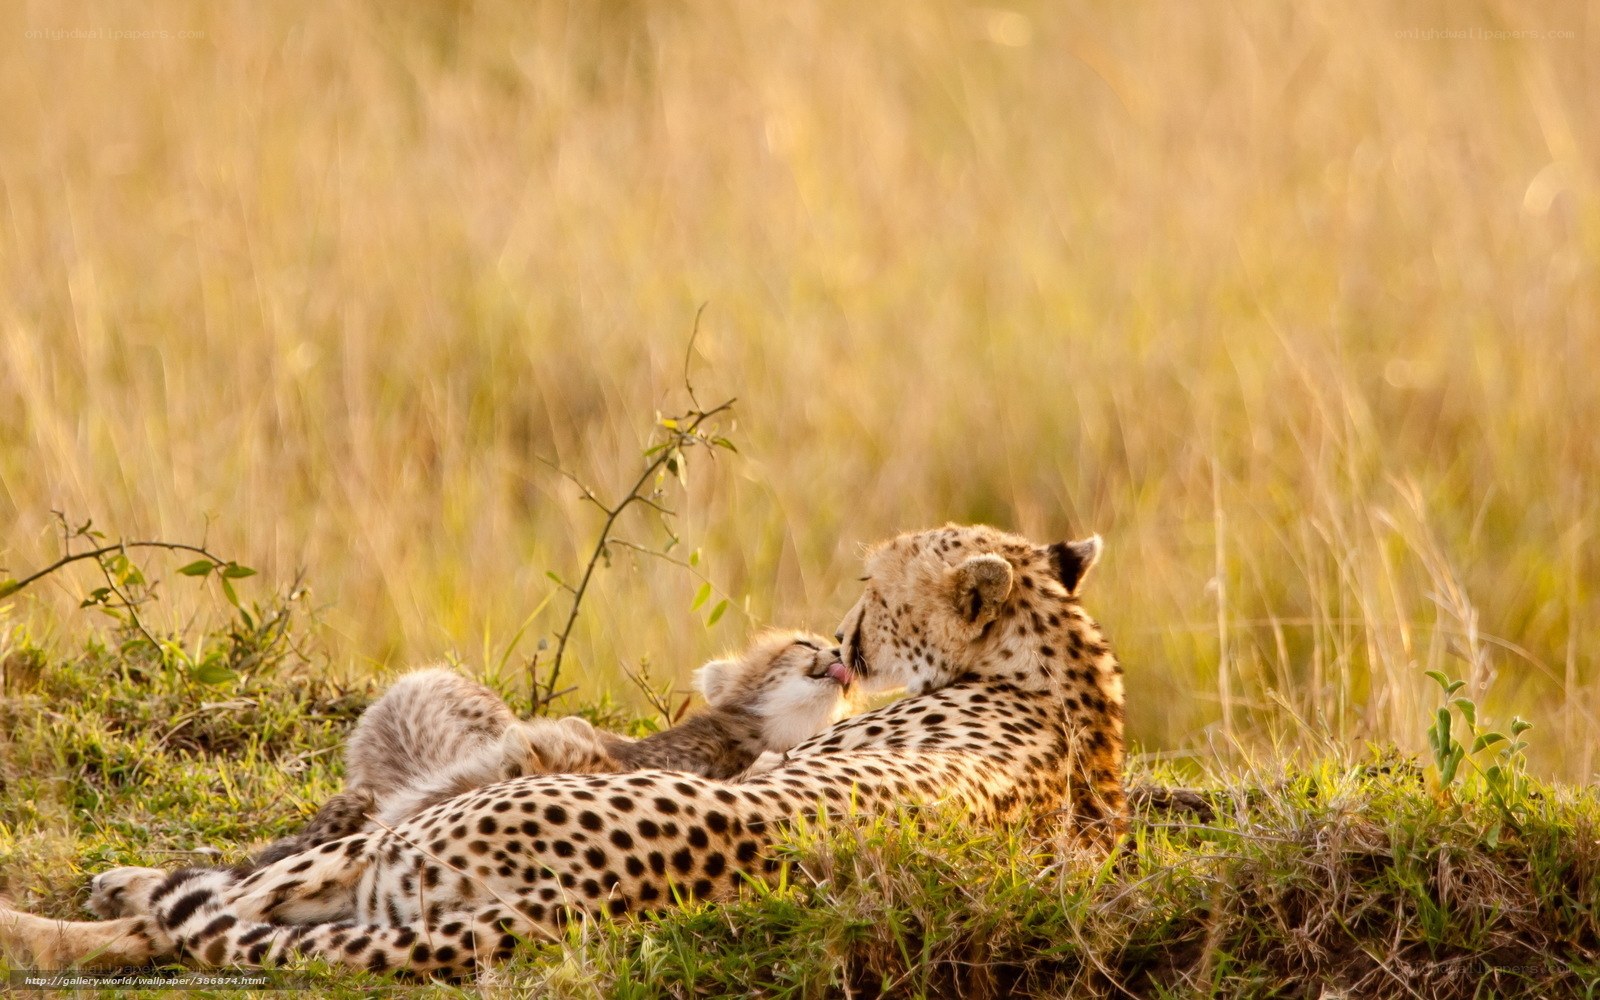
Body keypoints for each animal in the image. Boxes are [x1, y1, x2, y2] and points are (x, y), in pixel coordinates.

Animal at [0, 523, 1126, 979]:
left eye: (874, 589)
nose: (846, 640)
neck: (1059, 662)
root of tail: (569, 901)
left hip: (393, 854)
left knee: (188, 920)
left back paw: (67, 914)